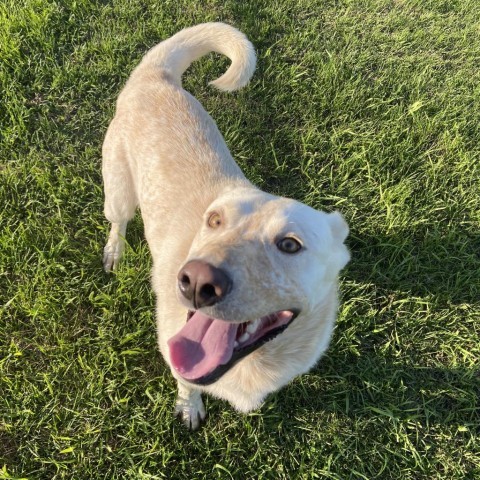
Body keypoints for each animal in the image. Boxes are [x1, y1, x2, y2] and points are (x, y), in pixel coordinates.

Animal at [102, 22, 348, 430]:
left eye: (290, 244)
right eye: (214, 220)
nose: (197, 282)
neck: (251, 367)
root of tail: (157, 75)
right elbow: (187, 383)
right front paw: (189, 408)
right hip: (118, 190)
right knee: (117, 222)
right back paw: (114, 252)